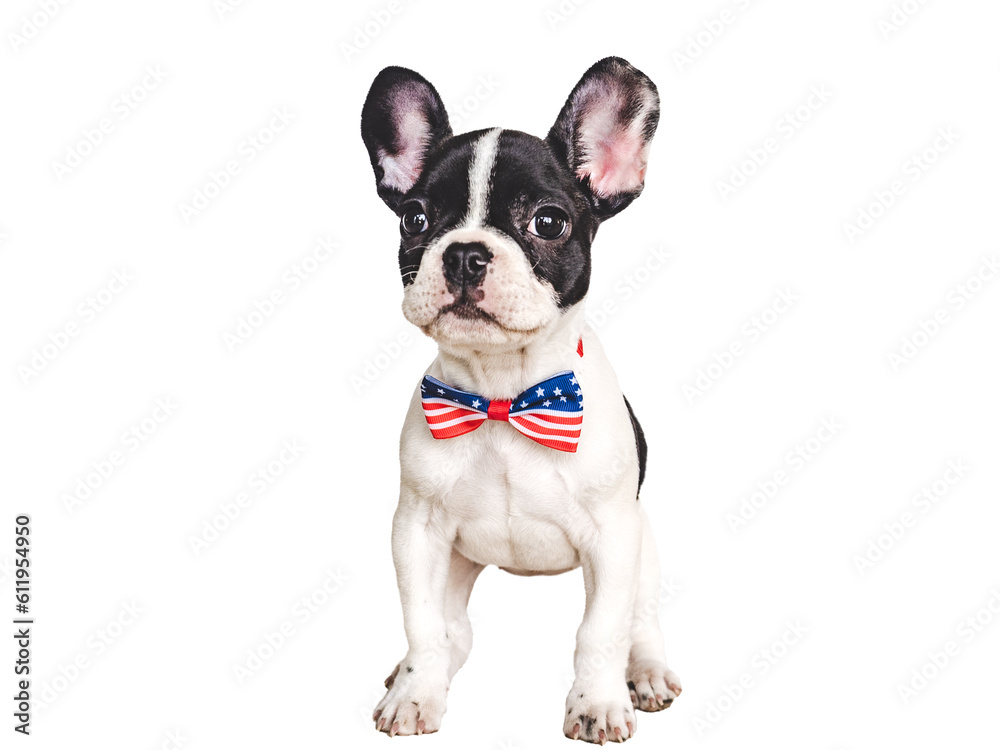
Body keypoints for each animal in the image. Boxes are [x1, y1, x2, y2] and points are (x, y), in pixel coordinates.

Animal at [360, 55, 680, 744]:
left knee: (639, 620)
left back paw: (644, 674)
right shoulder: (415, 532)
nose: (464, 252)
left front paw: (598, 704)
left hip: (643, 546)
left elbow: (600, 632)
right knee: (452, 629)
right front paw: (415, 694)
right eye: (414, 219)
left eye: (548, 222)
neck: (504, 393)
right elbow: (423, 623)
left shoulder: (614, 537)